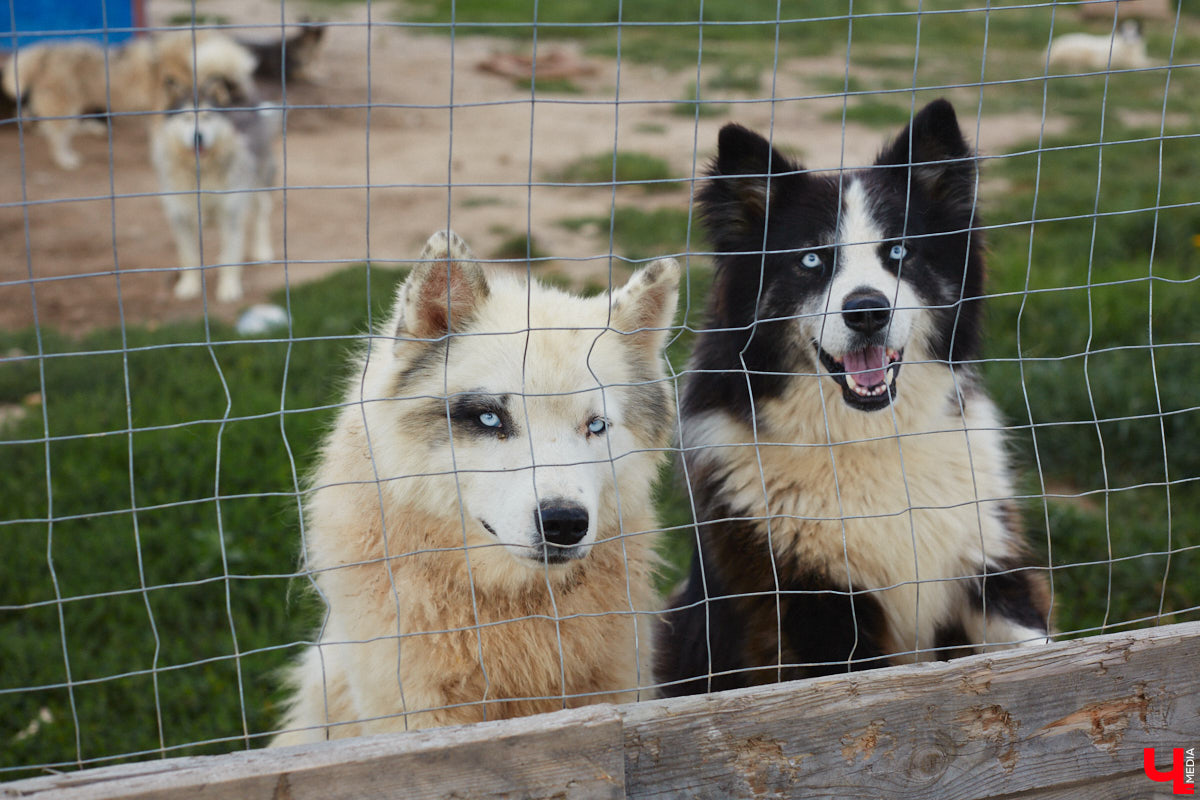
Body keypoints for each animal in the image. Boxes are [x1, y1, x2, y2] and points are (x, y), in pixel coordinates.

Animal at [149, 34, 278, 304]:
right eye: (187, 118)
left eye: (208, 117)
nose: (198, 136)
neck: (202, 173)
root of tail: (238, 97)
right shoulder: (180, 217)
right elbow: (189, 257)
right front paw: (189, 286)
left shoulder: (230, 213)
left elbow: (230, 255)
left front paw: (229, 289)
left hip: (260, 181)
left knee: (261, 214)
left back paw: (262, 250)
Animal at [657, 100, 1051, 695]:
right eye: (812, 260)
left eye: (899, 251)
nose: (867, 312)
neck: (867, 438)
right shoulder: (814, 611)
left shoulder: (988, 567)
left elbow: (1036, 651)